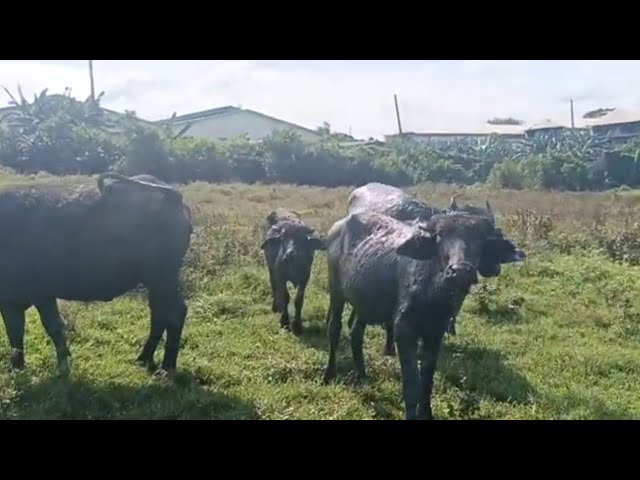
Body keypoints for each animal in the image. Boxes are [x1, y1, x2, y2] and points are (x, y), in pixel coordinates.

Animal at [0, 172, 192, 376]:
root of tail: (176, 200)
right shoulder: (11, 300)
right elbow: (15, 333)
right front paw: (17, 367)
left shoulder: (41, 293)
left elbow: (53, 327)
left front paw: (63, 368)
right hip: (156, 281)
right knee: (160, 313)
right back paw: (143, 359)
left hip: (164, 277)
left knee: (175, 313)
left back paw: (166, 368)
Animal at [260, 208, 324, 336]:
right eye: (283, 239)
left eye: (301, 238)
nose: (290, 254)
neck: (294, 265)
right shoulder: (280, 276)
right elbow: (285, 296)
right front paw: (284, 321)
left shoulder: (305, 278)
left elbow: (298, 299)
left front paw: (297, 325)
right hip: (271, 269)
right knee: (274, 285)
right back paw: (276, 307)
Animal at [322, 211, 524, 420]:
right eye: (440, 235)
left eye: (480, 237)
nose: (460, 272)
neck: (433, 294)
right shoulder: (403, 330)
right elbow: (411, 382)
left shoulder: (435, 333)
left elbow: (427, 380)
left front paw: (427, 413)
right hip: (336, 291)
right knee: (334, 329)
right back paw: (329, 373)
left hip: (364, 302)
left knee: (356, 333)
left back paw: (362, 375)